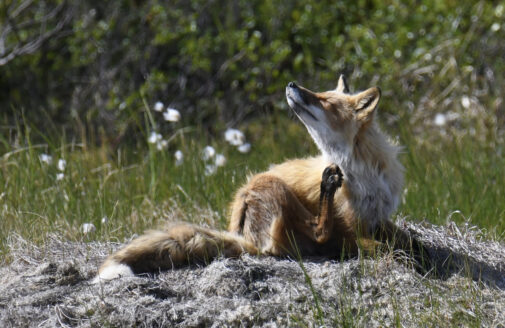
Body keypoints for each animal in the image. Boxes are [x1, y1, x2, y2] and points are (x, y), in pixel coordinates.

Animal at [93, 75, 426, 282]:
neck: (363, 175)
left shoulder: (377, 217)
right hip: (275, 189)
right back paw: (327, 188)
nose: (291, 83)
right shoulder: (348, 231)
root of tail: (241, 233)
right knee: (317, 233)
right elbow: (378, 246)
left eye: (324, 100)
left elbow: (406, 238)